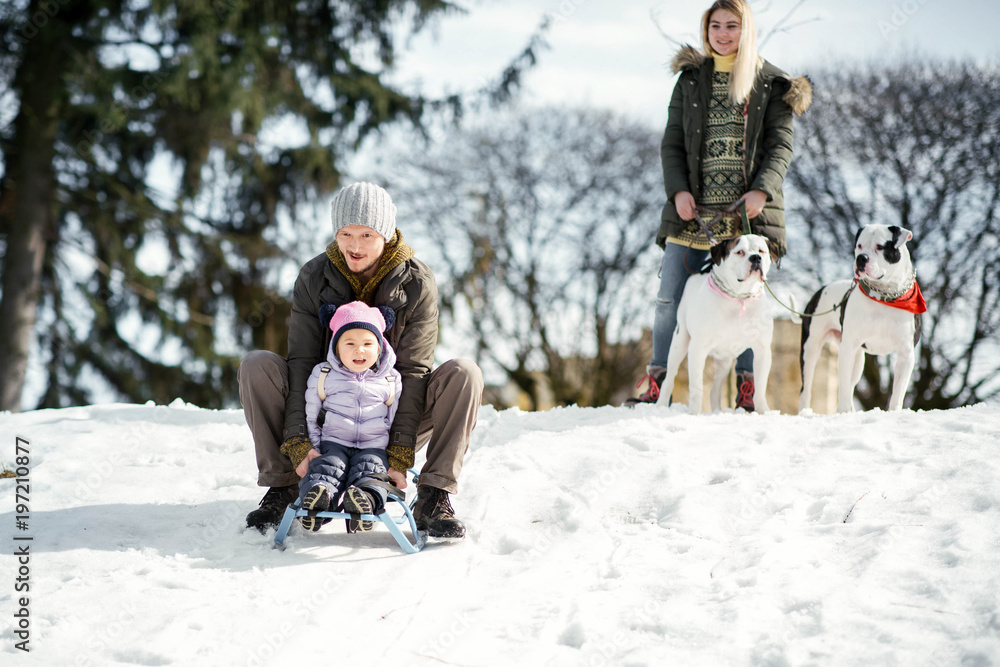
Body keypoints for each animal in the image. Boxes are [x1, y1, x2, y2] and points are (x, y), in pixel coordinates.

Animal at [656, 234, 780, 412]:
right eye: (740, 252)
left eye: (761, 250)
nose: (756, 258)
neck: (740, 297)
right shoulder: (697, 348)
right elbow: (696, 389)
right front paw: (693, 414)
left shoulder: (762, 350)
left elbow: (760, 389)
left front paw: (763, 412)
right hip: (679, 343)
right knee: (669, 377)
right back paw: (660, 404)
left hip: (725, 360)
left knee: (715, 388)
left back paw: (716, 411)